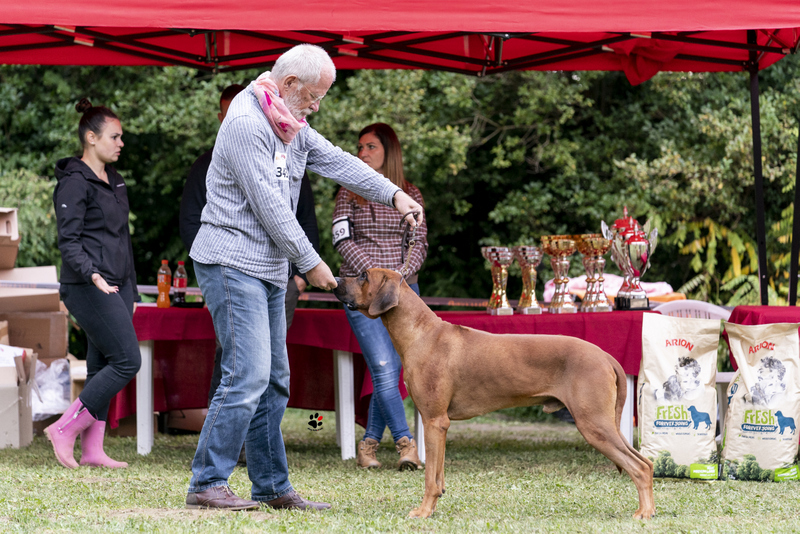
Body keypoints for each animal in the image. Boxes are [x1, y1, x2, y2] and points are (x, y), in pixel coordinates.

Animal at [334, 270, 652, 520]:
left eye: (363, 275)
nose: (335, 280)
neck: (421, 333)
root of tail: (605, 356)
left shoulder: (434, 421)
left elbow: (429, 479)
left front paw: (423, 512)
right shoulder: (440, 425)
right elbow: (438, 475)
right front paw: (433, 508)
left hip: (593, 424)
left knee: (639, 466)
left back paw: (644, 513)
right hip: (605, 423)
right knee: (646, 462)